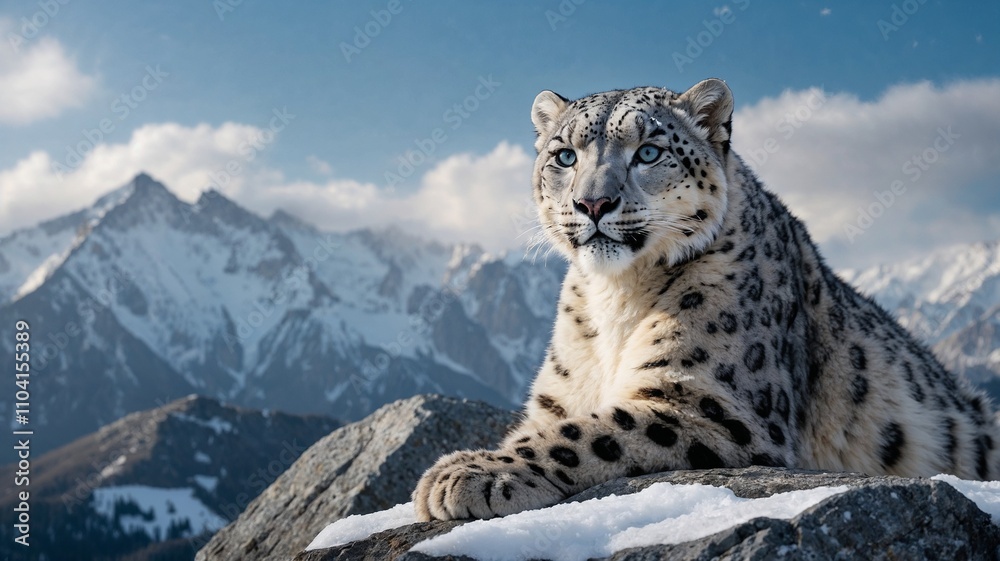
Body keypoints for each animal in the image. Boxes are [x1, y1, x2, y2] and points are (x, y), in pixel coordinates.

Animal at [413, 78, 1000, 521]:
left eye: (649, 151)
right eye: (564, 155)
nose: (593, 202)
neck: (616, 298)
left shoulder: (708, 402)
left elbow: (585, 434)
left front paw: (465, 473)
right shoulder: (556, 398)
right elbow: (548, 426)